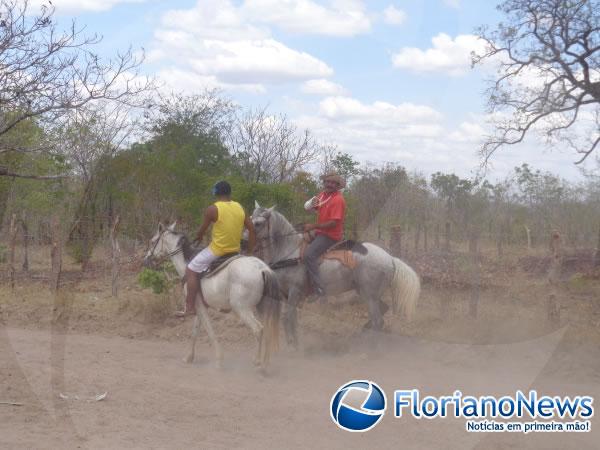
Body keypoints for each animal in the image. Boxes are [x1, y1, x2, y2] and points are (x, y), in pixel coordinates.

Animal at [144, 222, 282, 370]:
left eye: (152, 241)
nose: (146, 259)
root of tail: (262, 268)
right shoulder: (199, 306)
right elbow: (194, 332)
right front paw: (189, 357)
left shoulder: (199, 307)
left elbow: (210, 332)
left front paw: (218, 361)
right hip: (261, 307)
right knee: (267, 329)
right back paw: (265, 364)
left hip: (241, 308)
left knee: (258, 330)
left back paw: (258, 362)